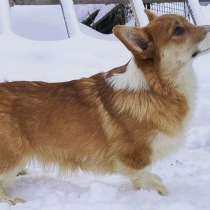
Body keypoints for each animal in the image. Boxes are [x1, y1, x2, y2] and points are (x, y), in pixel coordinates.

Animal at [0, 10, 208, 204]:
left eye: (186, 22)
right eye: (178, 30)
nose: (209, 27)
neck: (156, 87)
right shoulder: (135, 156)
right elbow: (144, 175)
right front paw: (157, 190)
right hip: (14, 156)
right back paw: (12, 199)